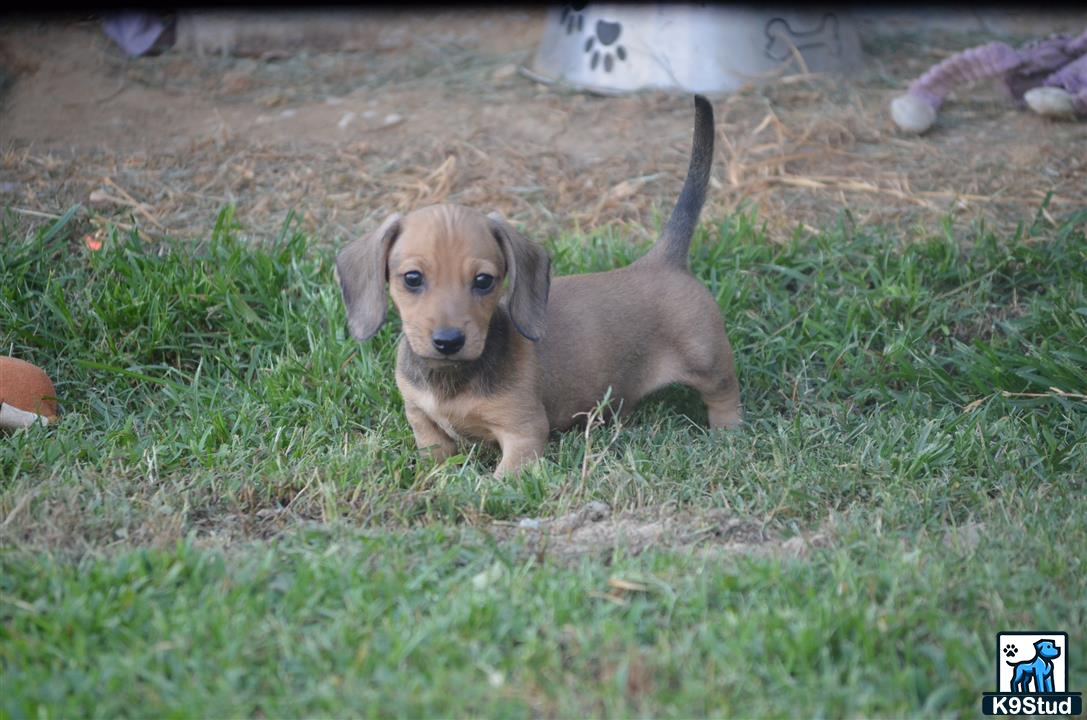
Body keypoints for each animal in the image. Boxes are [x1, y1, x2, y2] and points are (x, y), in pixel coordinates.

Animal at [336, 97, 739, 478]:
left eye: (484, 281)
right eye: (412, 278)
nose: (448, 342)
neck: (452, 379)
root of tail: (662, 259)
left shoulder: (524, 432)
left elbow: (500, 480)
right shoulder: (421, 418)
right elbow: (435, 454)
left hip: (708, 362)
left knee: (725, 394)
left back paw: (727, 433)